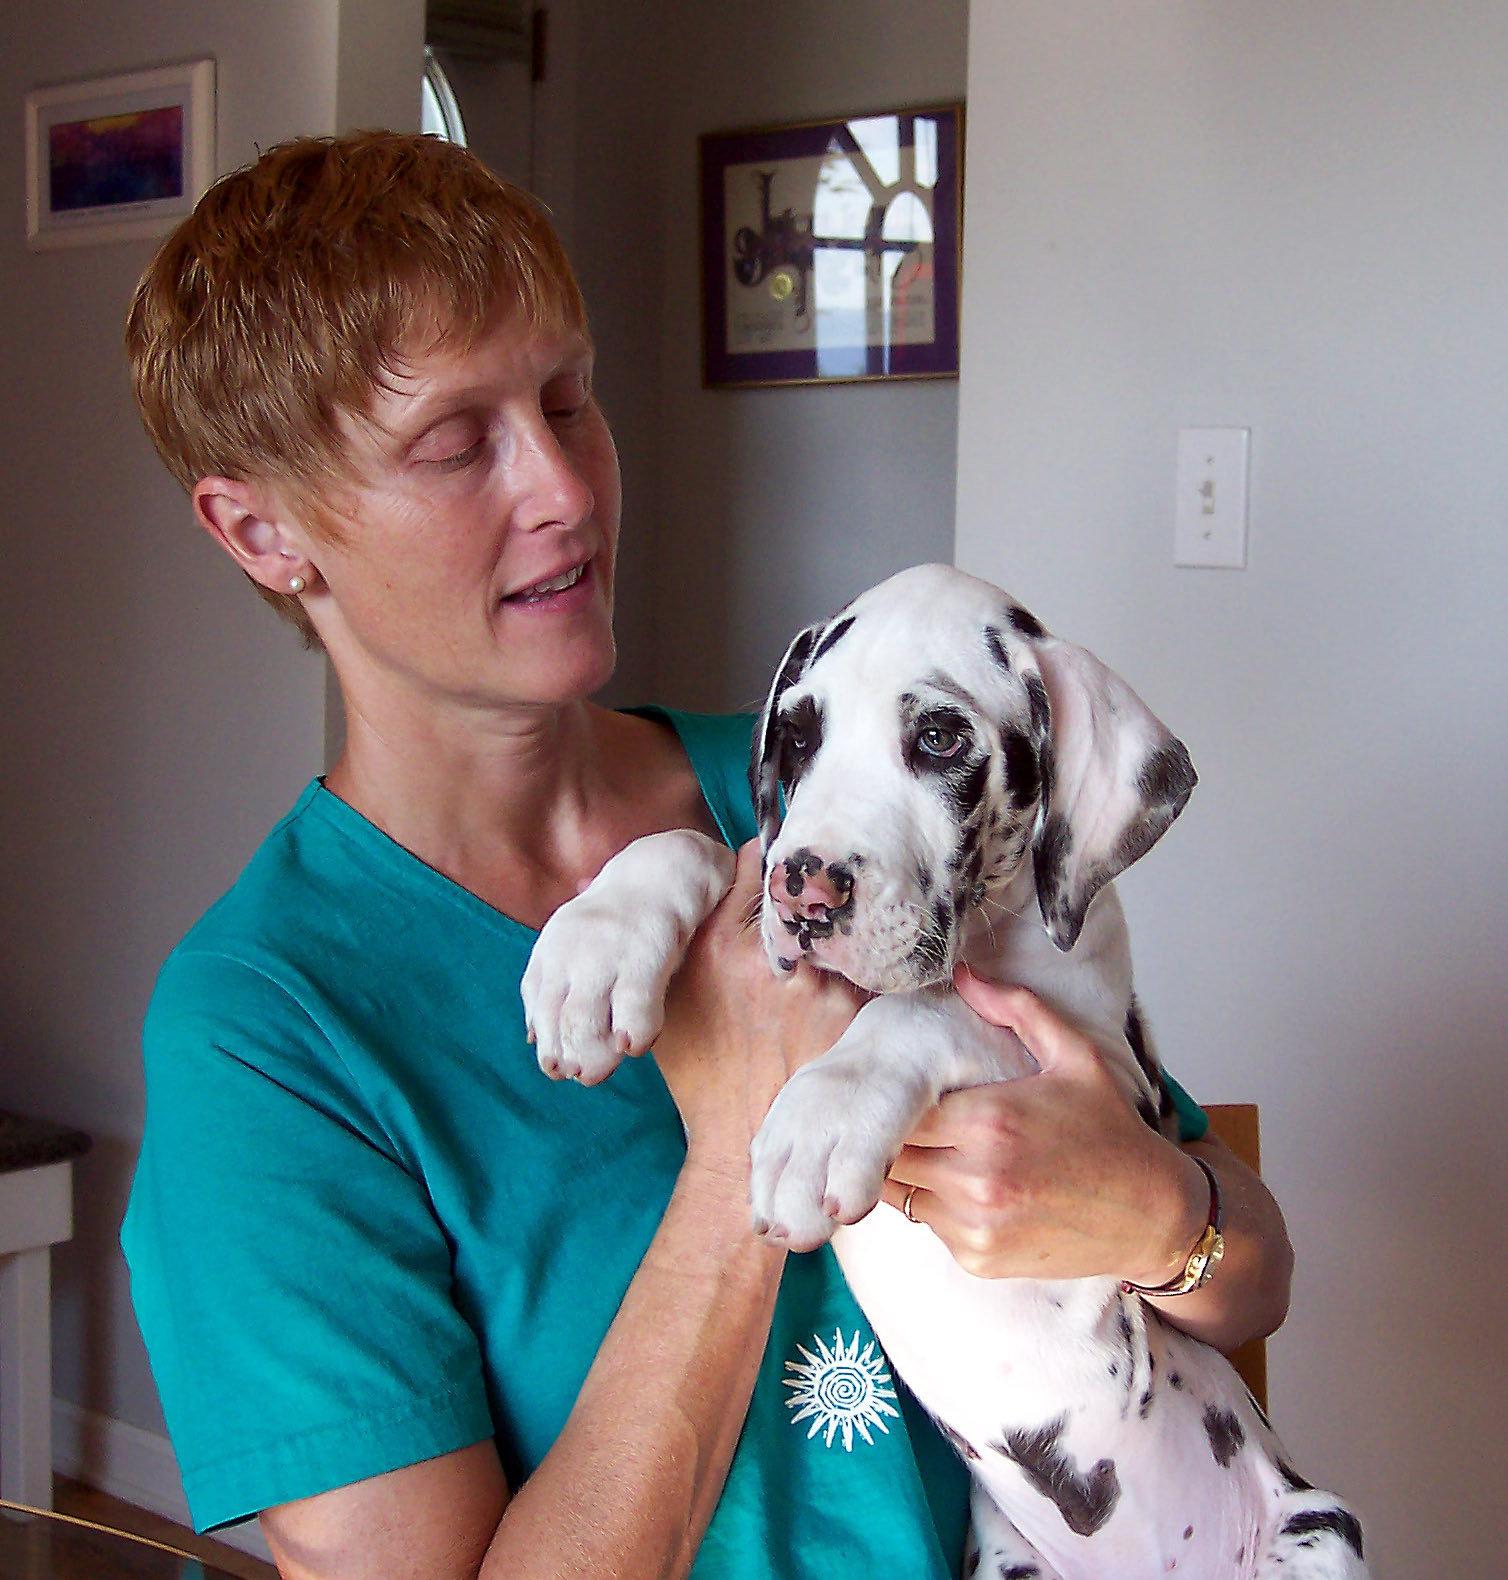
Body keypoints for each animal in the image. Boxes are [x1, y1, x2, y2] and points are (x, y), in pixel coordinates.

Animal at [522, 564, 1367, 1579]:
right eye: (798, 735)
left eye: (939, 738)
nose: (804, 891)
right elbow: (693, 845)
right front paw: (593, 949)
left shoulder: (1108, 1071)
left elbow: (928, 1007)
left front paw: (824, 1115)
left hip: (1316, 1528)